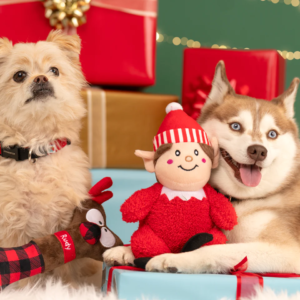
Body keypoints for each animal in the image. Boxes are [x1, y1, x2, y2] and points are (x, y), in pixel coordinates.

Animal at [0, 31, 98, 288]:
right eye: (19, 75)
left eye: (54, 70)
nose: (41, 78)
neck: (36, 151)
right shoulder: (12, 226)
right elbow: (21, 268)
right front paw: (25, 292)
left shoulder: (65, 221)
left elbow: (66, 266)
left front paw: (67, 289)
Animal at [103, 60, 300, 274]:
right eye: (236, 126)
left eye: (272, 134)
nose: (258, 151)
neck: (241, 200)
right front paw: (126, 249)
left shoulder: (285, 251)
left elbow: (215, 249)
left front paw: (175, 258)